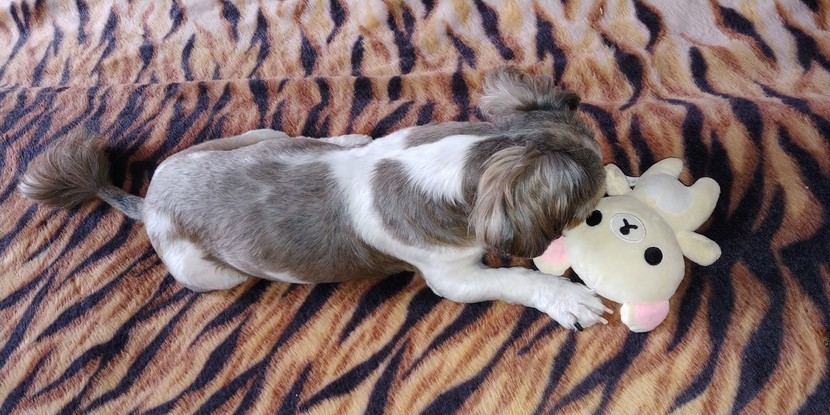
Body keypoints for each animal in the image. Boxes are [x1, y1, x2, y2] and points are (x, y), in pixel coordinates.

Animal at [19, 68, 610, 330]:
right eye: (590, 207)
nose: (615, 188)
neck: (455, 157)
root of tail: (148, 198)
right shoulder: (453, 278)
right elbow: (514, 280)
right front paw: (566, 298)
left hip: (256, 134)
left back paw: (343, 139)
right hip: (204, 272)